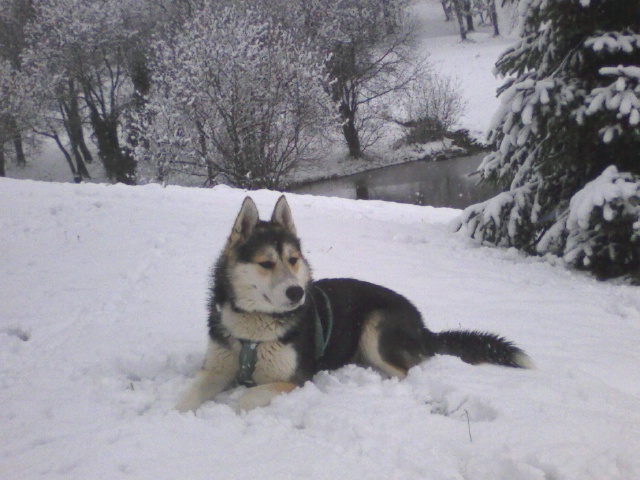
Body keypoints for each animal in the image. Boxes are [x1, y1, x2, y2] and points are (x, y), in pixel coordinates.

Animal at [175, 196, 528, 412]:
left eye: (292, 260)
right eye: (266, 264)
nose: (297, 293)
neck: (254, 331)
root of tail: (422, 323)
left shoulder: (296, 379)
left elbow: (246, 398)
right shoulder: (216, 368)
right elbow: (186, 396)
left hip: (374, 327)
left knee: (405, 373)